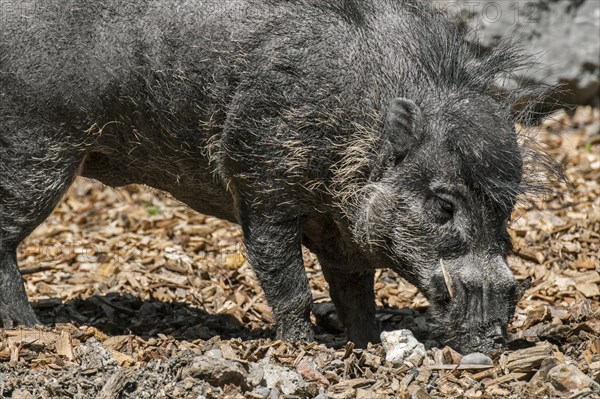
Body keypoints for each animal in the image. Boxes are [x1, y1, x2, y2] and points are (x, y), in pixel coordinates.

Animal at [1, 1, 552, 354]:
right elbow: (289, 284)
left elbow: (356, 293)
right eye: (443, 205)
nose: (492, 344)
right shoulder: (262, 189)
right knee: (4, 240)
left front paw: (368, 346)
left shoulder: (343, 232)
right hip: (38, 153)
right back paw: (32, 329)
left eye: (506, 210)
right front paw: (305, 349)